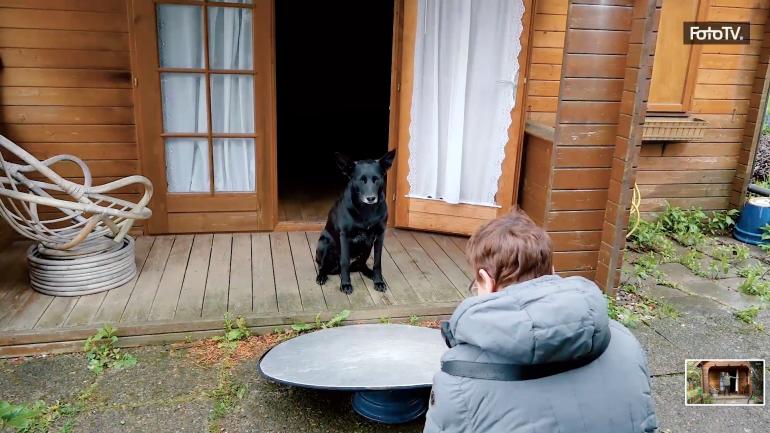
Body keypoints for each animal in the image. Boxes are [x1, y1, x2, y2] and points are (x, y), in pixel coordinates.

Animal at [314, 148, 396, 294]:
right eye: (361, 180)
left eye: (377, 179)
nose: (371, 198)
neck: (366, 210)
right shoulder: (345, 236)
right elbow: (345, 262)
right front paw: (346, 284)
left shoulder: (380, 235)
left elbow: (377, 262)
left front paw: (378, 281)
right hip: (324, 243)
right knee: (323, 266)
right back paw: (322, 276)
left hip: (367, 246)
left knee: (361, 265)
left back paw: (369, 272)